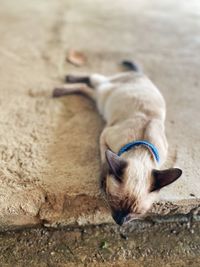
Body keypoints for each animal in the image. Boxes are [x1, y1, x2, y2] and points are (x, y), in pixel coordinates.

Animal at [52, 61, 183, 227]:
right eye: (114, 202)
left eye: (136, 213)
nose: (120, 222)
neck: (142, 149)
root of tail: (141, 75)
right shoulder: (104, 137)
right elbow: (104, 161)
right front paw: (103, 180)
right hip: (103, 91)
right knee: (90, 81)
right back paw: (62, 85)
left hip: (101, 96)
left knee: (88, 88)